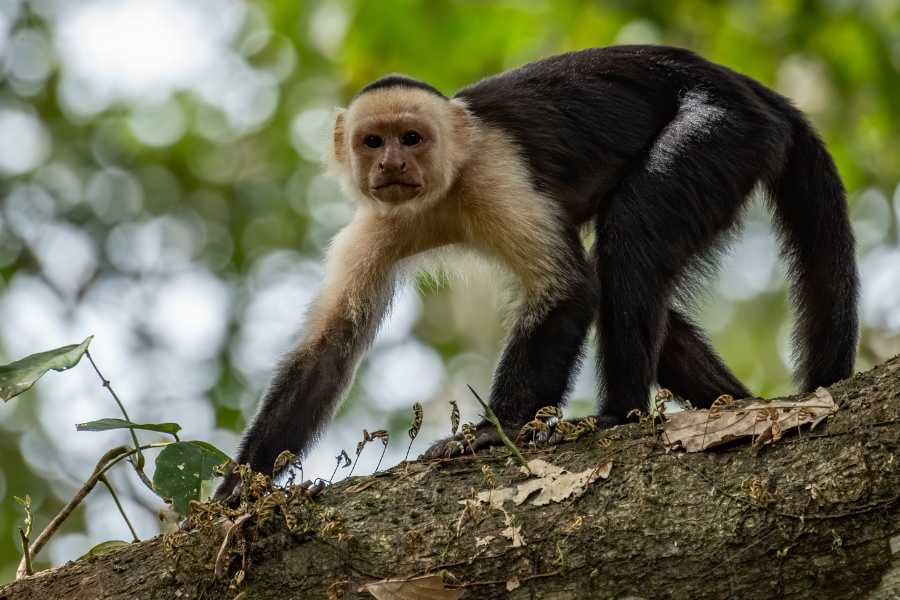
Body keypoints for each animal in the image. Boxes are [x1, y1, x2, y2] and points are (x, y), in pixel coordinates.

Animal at [213, 44, 856, 500]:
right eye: (374, 142)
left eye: (411, 138)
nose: (392, 163)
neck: (441, 195)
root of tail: (750, 89)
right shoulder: (375, 223)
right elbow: (329, 348)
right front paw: (236, 493)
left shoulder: (495, 169)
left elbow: (568, 290)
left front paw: (487, 434)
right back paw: (730, 404)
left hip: (725, 130)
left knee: (630, 240)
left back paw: (617, 415)